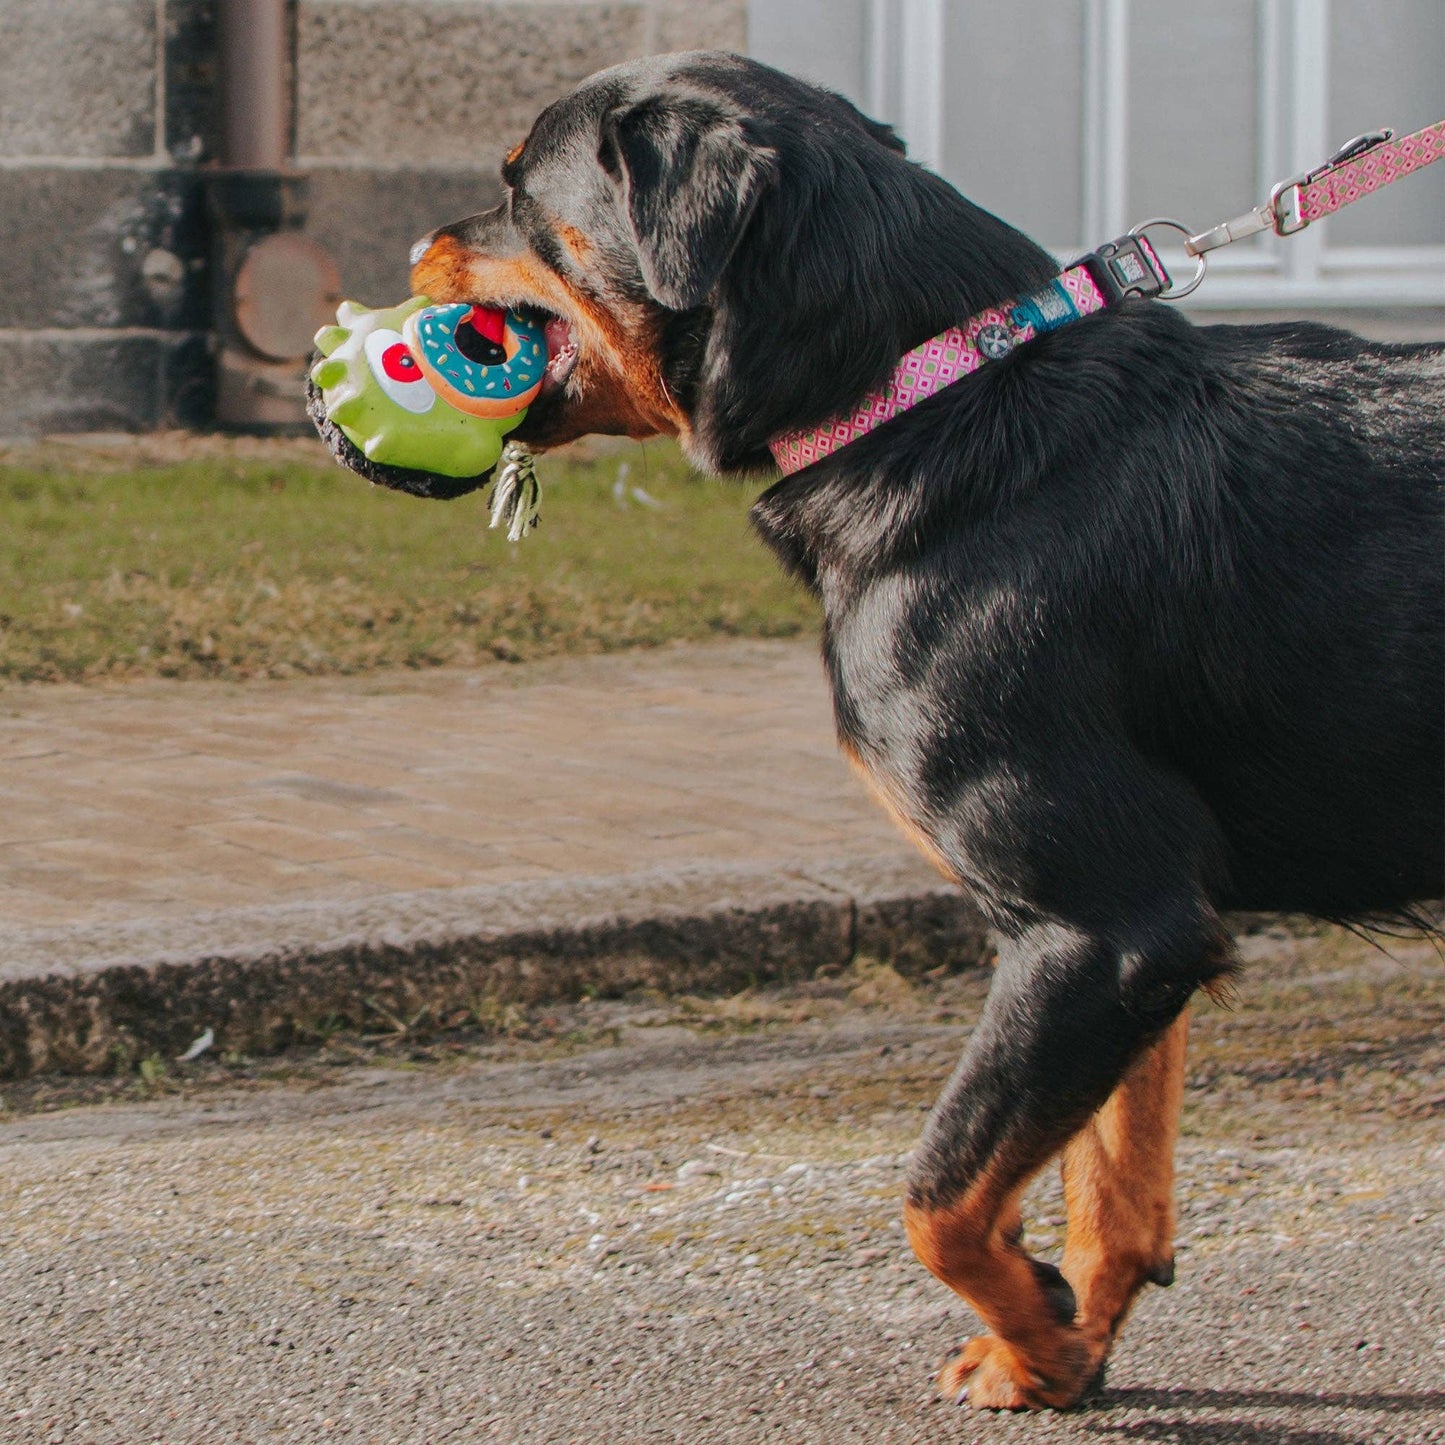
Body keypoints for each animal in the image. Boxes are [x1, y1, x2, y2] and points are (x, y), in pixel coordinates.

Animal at [398, 56, 1445, 1410]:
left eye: (521, 192)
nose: (414, 247)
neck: (929, 392)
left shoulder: (1098, 926)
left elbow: (937, 1193)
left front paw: (1037, 1332)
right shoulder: (1143, 935)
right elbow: (1110, 1173)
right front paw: (1064, 1343)